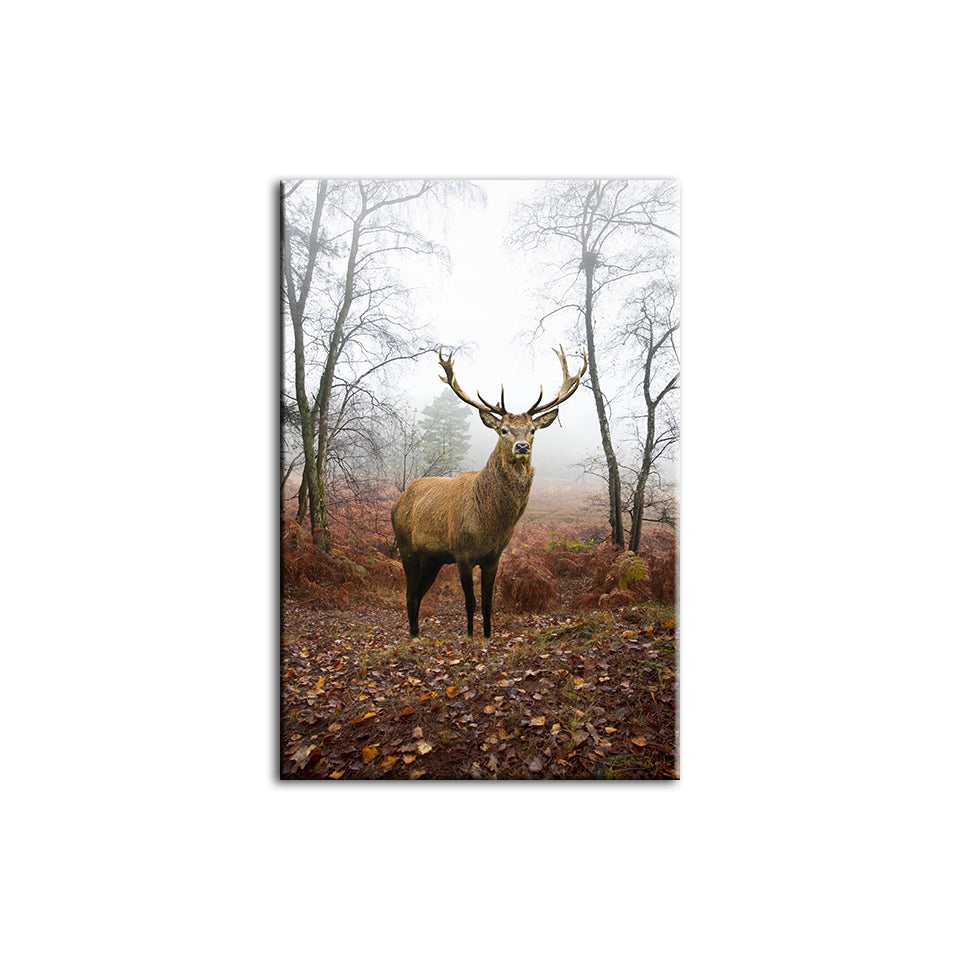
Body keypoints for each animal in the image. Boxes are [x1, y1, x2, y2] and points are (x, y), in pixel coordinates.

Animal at [391, 345, 587, 639]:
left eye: (532, 430)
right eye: (503, 429)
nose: (521, 446)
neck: (488, 524)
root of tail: (397, 502)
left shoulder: (493, 556)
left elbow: (487, 602)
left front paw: (486, 635)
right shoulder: (461, 552)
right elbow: (470, 602)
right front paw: (470, 636)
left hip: (433, 559)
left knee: (417, 594)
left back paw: (416, 634)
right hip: (407, 548)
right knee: (410, 594)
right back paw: (414, 637)